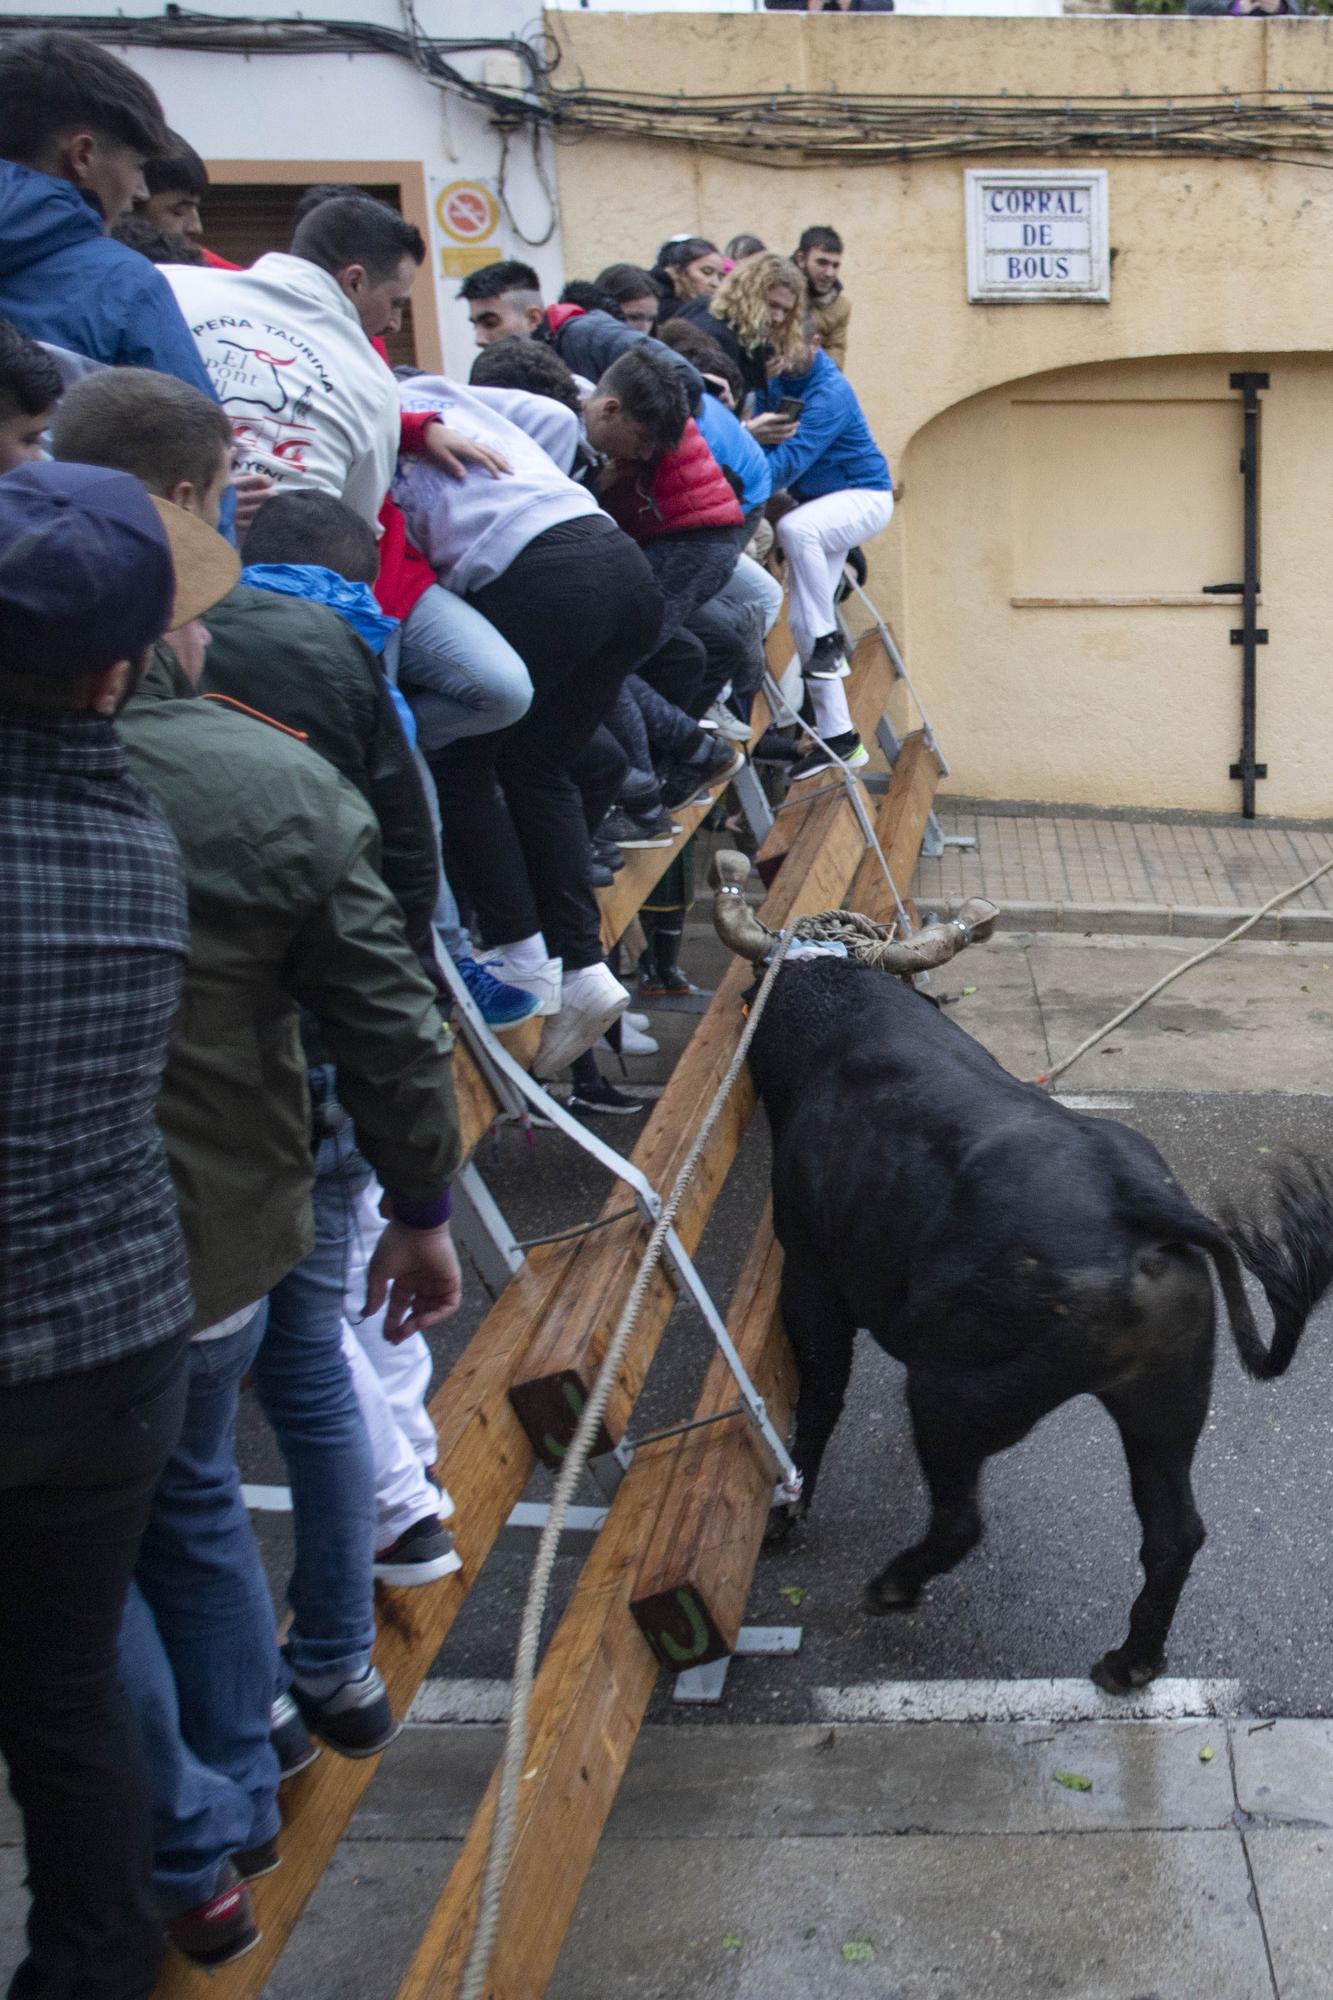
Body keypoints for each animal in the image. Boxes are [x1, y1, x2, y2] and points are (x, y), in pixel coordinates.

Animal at [740, 952, 1328, 1688]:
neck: (833, 1021)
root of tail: (1141, 1204)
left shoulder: (809, 1274)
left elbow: (819, 1395)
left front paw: (788, 1509)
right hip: (1165, 1403)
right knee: (1175, 1532)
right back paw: (1130, 1660)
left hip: (952, 1392)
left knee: (961, 1519)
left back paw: (892, 1586)